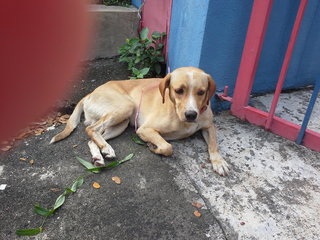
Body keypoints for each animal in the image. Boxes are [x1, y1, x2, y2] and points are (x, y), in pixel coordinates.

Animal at [50, 66, 230, 175]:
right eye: (179, 90)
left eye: (201, 92)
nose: (191, 114)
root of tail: (90, 93)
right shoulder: (145, 129)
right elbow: (167, 147)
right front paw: (154, 147)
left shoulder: (209, 126)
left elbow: (213, 144)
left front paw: (218, 161)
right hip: (125, 107)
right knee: (90, 129)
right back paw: (105, 149)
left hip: (120, 123)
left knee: (92, 138)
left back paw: (101, 155)